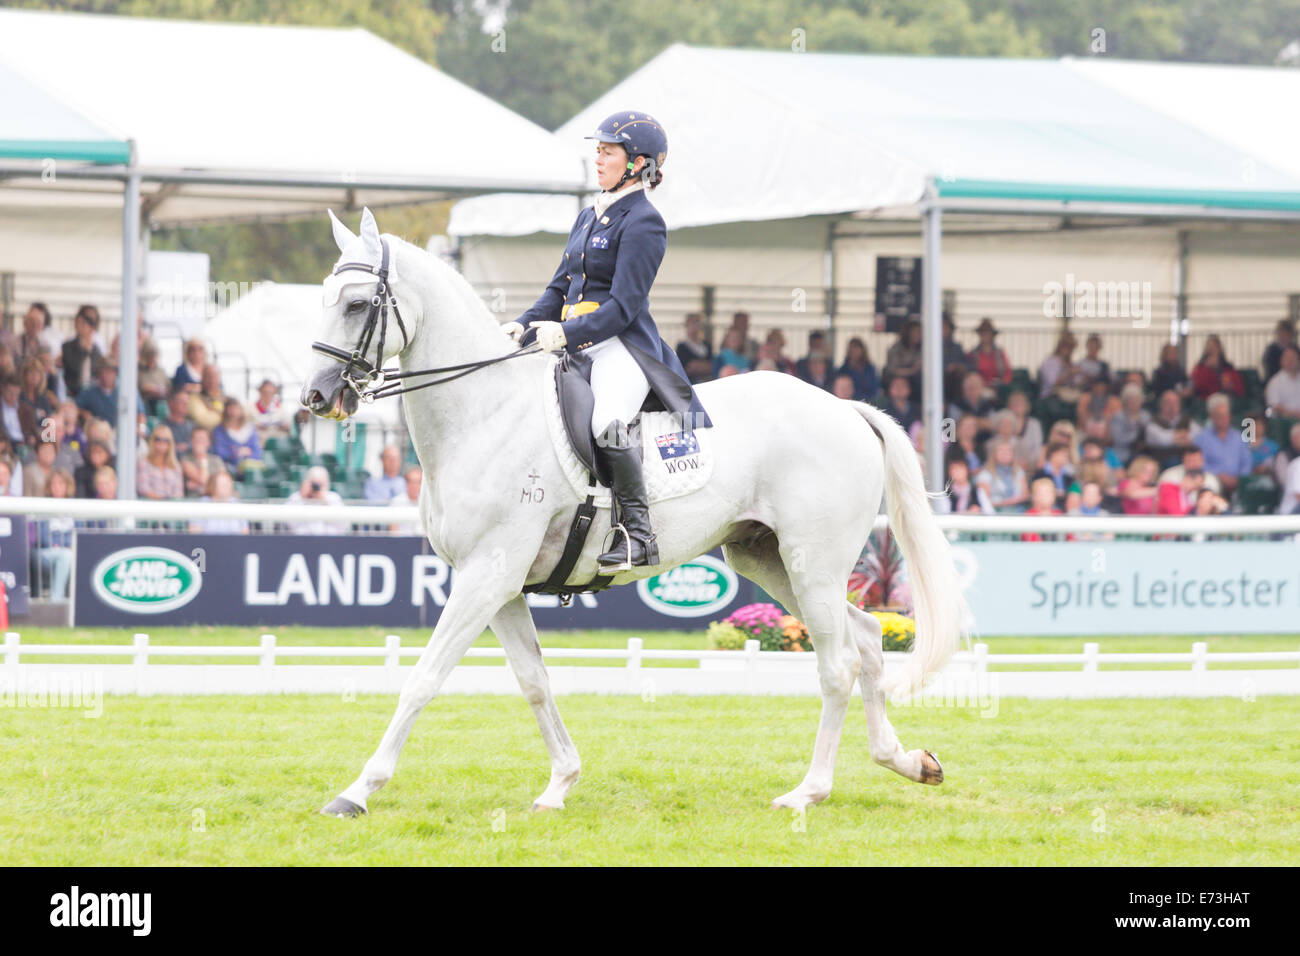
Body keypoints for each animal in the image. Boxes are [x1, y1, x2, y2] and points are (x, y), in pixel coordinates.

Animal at [304, 209, 972, 816]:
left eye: (359, 304)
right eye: (325, 298)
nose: (317, 396)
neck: (486, 412)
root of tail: (844, 408)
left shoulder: (487, 573)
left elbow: (423, 678)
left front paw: (356, 792)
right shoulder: (501, 584)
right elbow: (534, 682)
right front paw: (559, 785)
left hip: (814, 562)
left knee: (838, 663)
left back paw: (808, 791)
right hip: (768, 559)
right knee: (866, 638)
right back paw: (906, 761)